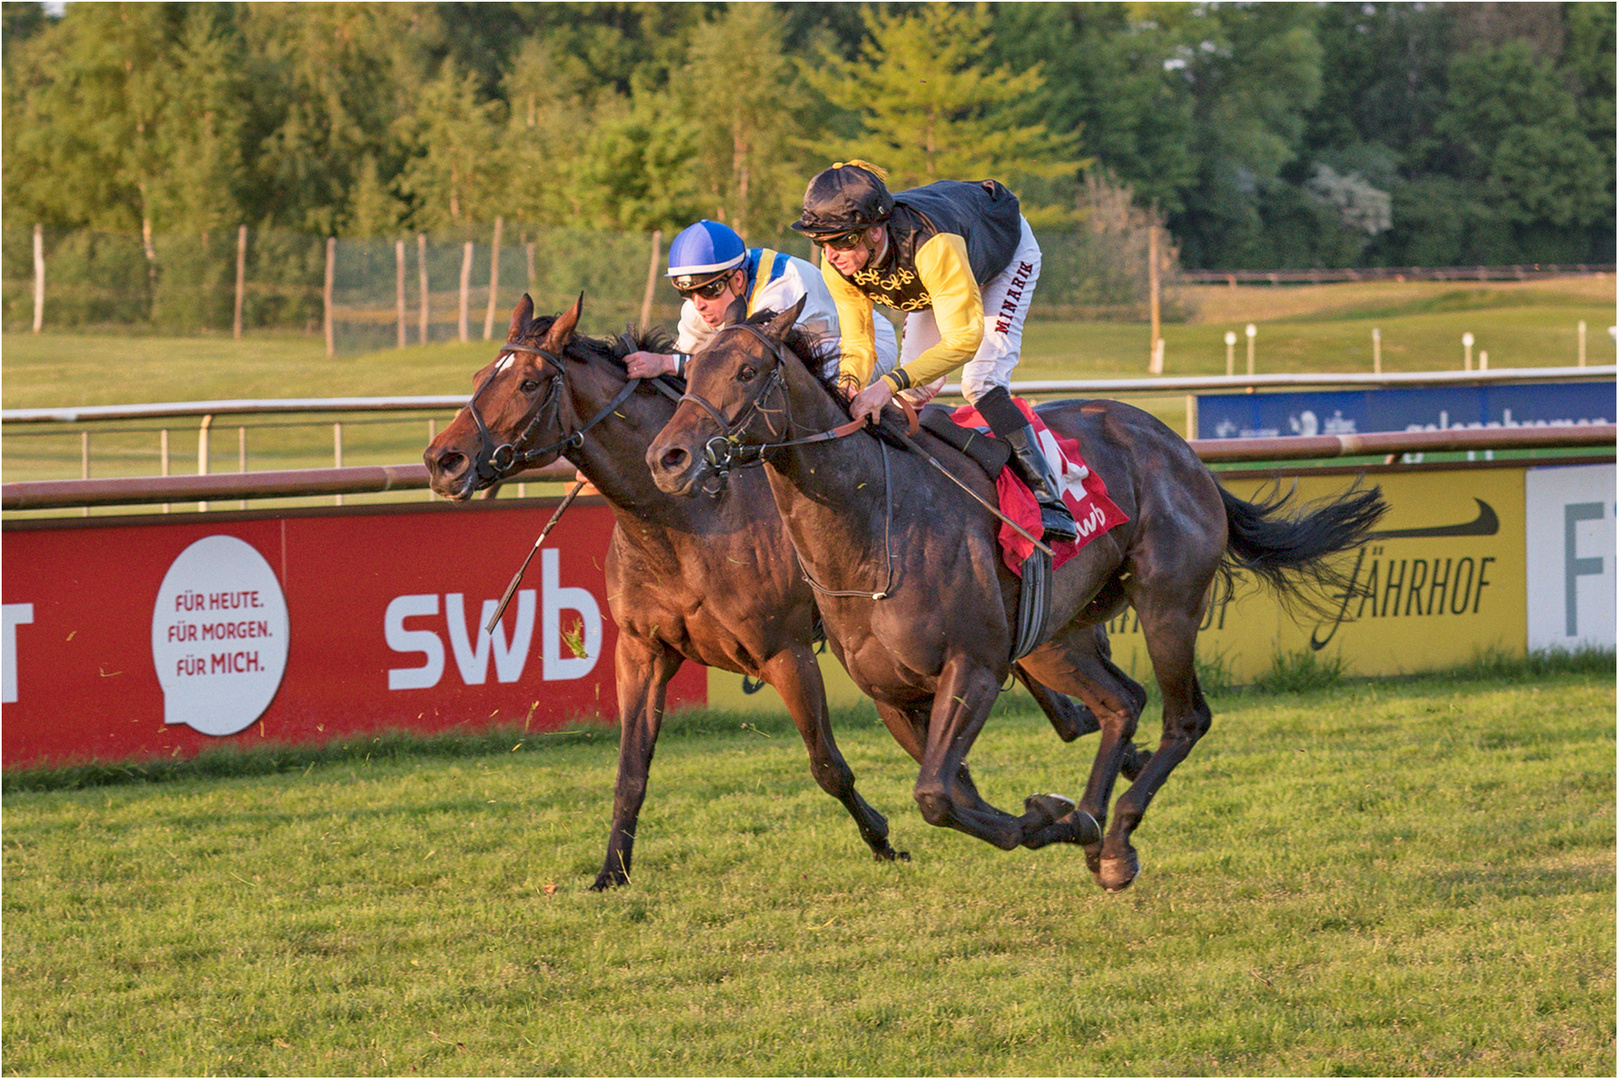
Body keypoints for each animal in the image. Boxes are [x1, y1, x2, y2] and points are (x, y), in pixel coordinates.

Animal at [420, 293, 1100, 887]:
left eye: (529, 383)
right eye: (480, 373)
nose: (442, 461)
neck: (685, 521)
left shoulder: (784, 652)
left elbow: (829, 765)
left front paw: (884, 839)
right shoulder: (643, 650)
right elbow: (630, 770)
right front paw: (611, 872)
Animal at [650, 299, 1385, 893]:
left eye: (748, 371)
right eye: (688, 372)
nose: (669, 458)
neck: (872, 524)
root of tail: (1179, 446)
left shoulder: (973, 668)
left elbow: (936, 795)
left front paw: (1052, 820)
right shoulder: (892, 695)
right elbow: (952, 789)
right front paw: (1061, 817)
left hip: (1167, 603)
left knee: (1185, 718)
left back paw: (1117, 838)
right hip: (1056, 639)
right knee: (1121, 704)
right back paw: (1100, 826)